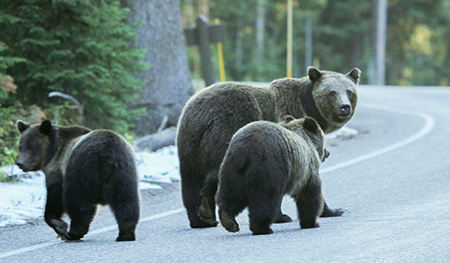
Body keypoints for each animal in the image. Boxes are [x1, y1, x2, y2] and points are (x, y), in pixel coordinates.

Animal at [178, 66, 360, 229]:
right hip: (225, 130)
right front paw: (331, 210)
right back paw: (207, 211)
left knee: (190, 183)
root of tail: (201, 117)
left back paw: (200, 219)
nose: (344, 107)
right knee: (215, 174)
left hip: (189, 145)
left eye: (349, 92)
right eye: (332, 92)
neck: (309, 106)